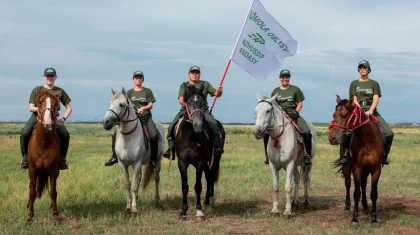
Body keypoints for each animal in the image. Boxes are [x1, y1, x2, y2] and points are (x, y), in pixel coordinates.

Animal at [25, 87, 61, 226]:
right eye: (39, 102)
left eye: (56, 104)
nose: (48, 122)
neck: (43, 143)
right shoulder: (32, 169)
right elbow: (32, 192)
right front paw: (29, 218)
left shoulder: (54, 170)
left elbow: (53, 192)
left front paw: (56, 216)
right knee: (31, 187)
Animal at [103, 87, 164, 216]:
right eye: (109, 103)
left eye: (121, 105)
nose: (106, 123)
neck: (128, 137)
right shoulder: (122, 164)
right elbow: (128, 184)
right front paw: (128, 206)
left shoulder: (136, 163)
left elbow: (134, 186)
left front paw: (134, 209)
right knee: (140, 177)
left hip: (158, 159)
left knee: (156, 178)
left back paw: (157, 200)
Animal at [176, 85, 225, 221]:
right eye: (188, 102)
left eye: (203, 103)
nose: (197, 125)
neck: (191, 137)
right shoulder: (182, 162)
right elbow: (185, 187)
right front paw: (183, 212)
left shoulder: (199, 162)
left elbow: (197, 186)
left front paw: (199, 211)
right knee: (208, 175)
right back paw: (207, 201)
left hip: (216, 158)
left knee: (211, 175)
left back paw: (211, 200)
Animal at [328, 95, 384, 226]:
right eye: (334, 114)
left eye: (344, 115)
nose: (332, 138)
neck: (368, 141)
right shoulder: (357, 168)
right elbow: (356, 193)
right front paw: (354, 218)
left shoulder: (376, 169)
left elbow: (373, 193)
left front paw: (374, 219)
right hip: (347, 168)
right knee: (348, 184)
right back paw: (347, 206)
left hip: (366, 170)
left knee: (363, 185)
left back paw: (365, 206)